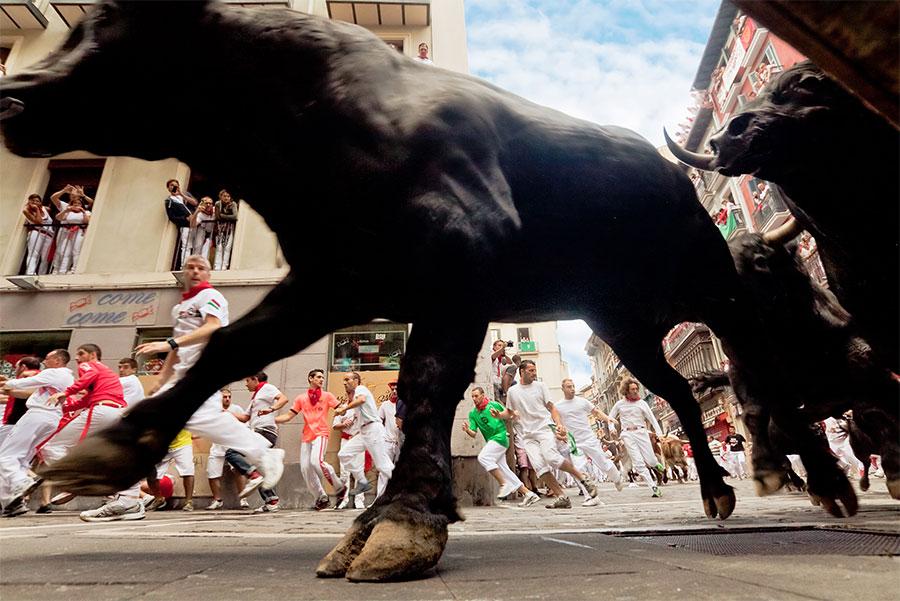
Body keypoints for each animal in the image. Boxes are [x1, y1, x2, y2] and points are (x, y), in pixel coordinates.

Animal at [0, 0, 812, 580]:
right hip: (620, 318)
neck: (308, 116)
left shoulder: (458, 270)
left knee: (737, 346)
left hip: (700, 279)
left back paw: (779, 466)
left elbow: (425, 383)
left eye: (111, 21)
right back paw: (721, 486)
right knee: (675, 389)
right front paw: (108, 452)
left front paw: (403, 518)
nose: (12, 96)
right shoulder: (332, 280)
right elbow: (231, 346)